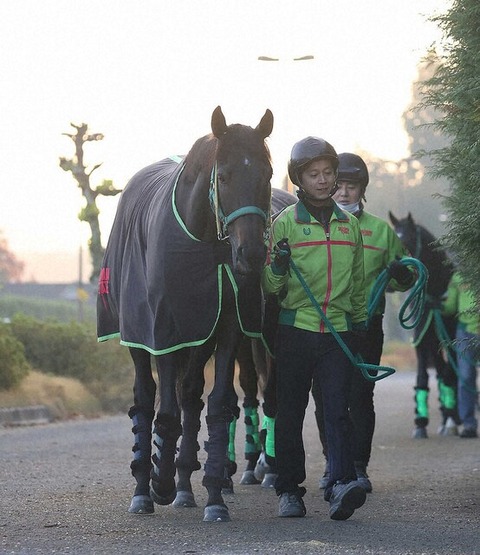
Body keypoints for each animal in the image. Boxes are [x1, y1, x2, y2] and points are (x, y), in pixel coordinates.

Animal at [97, 106, 274, 524]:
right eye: (224, 175)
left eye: (268, 174)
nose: (252, 255)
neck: (204, 243)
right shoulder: (164, 330)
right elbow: (165, 411)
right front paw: (158, 483)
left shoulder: (223, 328)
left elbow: (216, 405)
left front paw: (213, 497)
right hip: (138, 333)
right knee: (146, 398)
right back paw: (145, 489)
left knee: (191, 395)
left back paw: (184, 486)